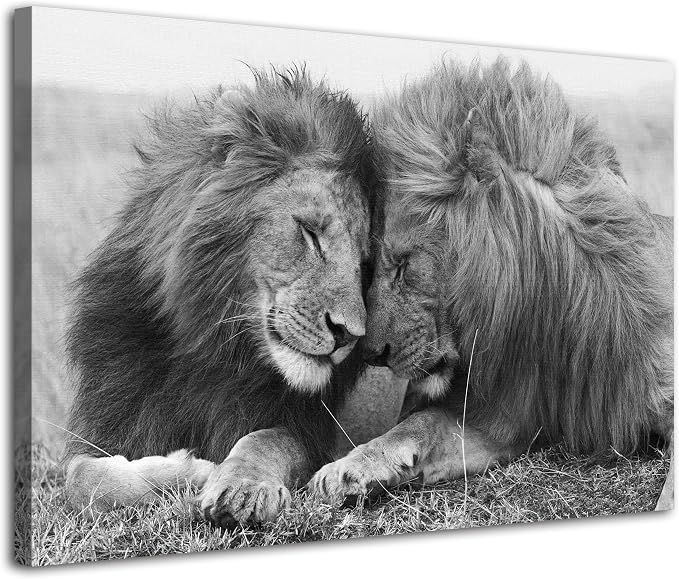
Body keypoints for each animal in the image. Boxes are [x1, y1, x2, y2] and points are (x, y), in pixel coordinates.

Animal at [64, 67, 373, 526]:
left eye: (365, 264)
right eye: (310, 232)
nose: (349, 335)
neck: (209, 348)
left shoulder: (309, 430)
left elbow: (265, 439)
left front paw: (240, 486)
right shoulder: (106, 423)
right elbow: (82, 478)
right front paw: (188, 470)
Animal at [310, 59, 674, 511]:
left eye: (404, 265)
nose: (371, 355)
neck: (552, 324)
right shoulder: (504, 417)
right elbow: (418, 425)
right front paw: (345, 469)